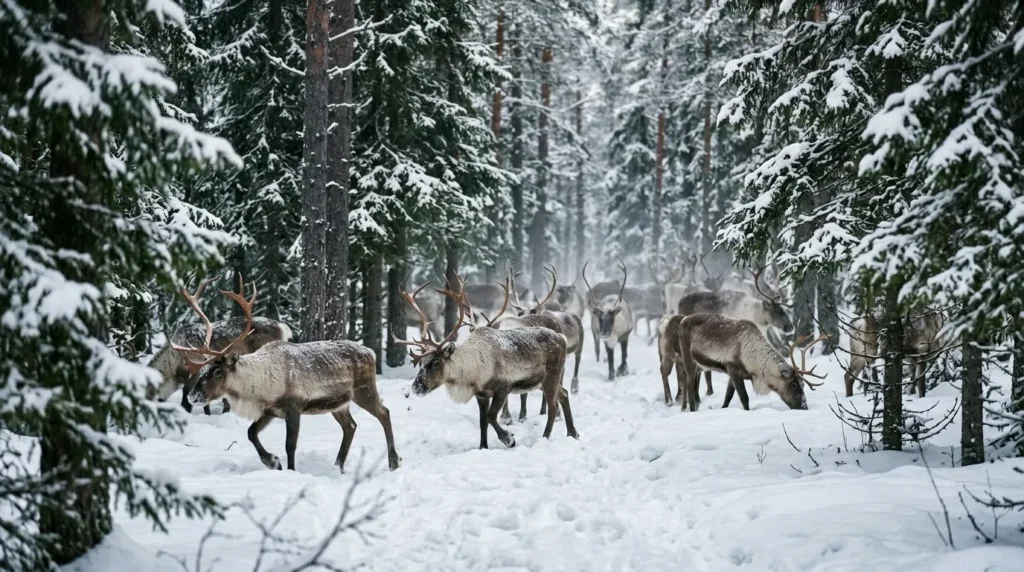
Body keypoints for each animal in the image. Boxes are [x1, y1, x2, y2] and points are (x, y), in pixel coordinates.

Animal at [176, 276, 401, 473]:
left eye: (217, 371)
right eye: (202, 370)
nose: (192, 396)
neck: (258, 387)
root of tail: (371, 352)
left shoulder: (294, 407)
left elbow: (289, 445)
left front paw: (290, 470)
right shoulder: (270, 411)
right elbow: (250, 433)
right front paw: (273, 462)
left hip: (364, 390)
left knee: (384, 412)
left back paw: (393, 462)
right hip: (339, 403)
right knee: (351, 426)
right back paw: (338, 466)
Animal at [399, 273, 579, 449]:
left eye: (436, 363)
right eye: (421, 363)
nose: (416, 387)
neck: (472, 372)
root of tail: (561, 338)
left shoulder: (503, 388)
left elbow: (491, 416)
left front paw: (509, 439)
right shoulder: (481, 395)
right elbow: (483, 422)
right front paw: (483, 447)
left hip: (552, 375)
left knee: (553, 406)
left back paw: (545, 438)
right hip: (542, 381)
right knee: (564, 394)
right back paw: (573, 433)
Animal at [495, 267, 586, 423]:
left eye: (530, 311)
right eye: (519, 313)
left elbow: (523, 394)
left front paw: (521, 416)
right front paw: (505, 417)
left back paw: (551, 412)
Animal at [670, 313, 827, 411]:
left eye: (802, 384)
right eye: (793, 384)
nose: (804, 407)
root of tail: (682, 321)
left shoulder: (734, 374)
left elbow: (728, 396)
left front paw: (723, 409)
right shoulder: (733, 369)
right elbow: (744, 398)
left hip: (699, 366)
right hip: (688, 360)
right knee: (689, 385)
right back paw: (691, 410)